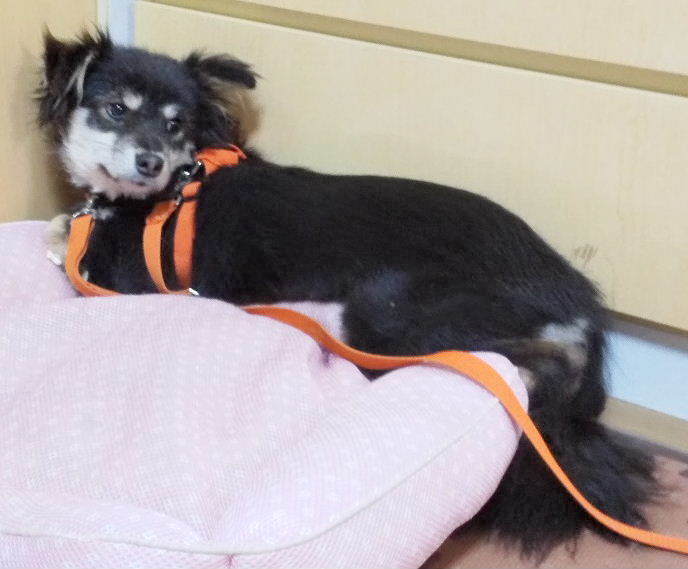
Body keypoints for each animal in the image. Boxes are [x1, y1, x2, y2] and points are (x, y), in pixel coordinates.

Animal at [38, 30, 657, 557]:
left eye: (175, 124)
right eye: (116, 109)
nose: (151, 162)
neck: (169, 193)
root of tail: (574, 295)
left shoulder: (131, 279)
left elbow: (72, 247)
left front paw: (65, 234)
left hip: (387, 311)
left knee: (531, 363)